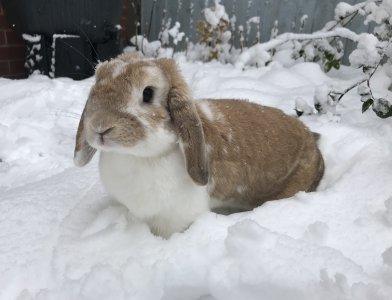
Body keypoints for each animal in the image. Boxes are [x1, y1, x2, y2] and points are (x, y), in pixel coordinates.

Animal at [74, 52, 324, 238]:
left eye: (148, 93)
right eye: (96, 85)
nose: (100, 126)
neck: (139, 157)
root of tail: (312, 140)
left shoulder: (173, 219)